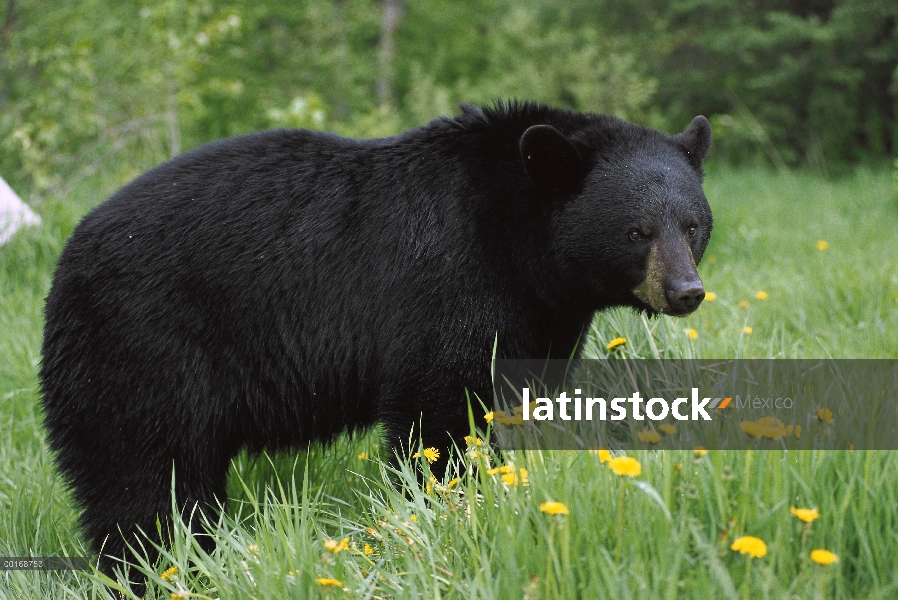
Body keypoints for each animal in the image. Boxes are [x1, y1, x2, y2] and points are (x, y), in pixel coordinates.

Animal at [38, 102, 712, 576]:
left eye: (692, 224)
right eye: (635, 230)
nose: (686, 291)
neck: (515, 236)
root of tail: (66, 258)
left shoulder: (539, 314)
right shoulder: (450, 282)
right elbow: (441, 411)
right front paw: (451, 507)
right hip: (143, 349)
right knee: (145, 476)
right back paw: (164, 568)